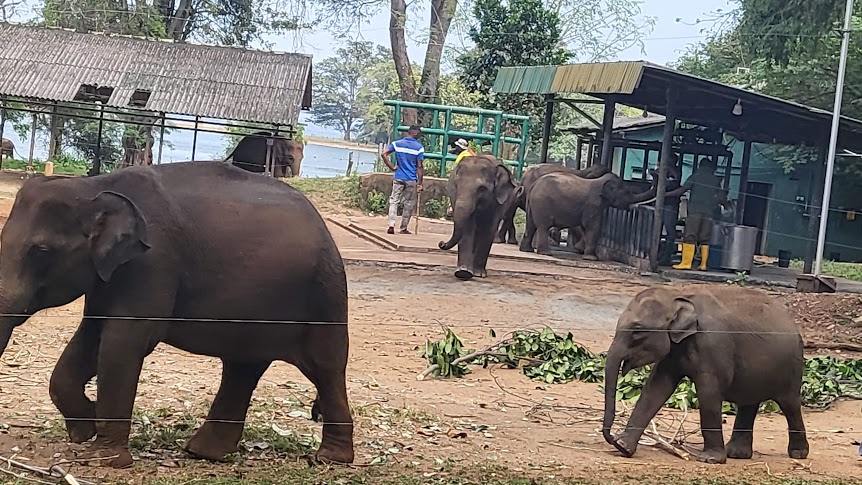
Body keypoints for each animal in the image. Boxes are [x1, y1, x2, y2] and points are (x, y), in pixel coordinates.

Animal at [0, 162, 353, 468]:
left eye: (41, 251)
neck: (97, 186)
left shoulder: (154, 263)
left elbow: (122, 342)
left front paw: (103, 458)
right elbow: (90, 336)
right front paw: (86, 429)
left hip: (325, 294)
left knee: (325, 367)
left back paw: (330, 458)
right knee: (243, 366)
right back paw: (203, 452)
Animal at [519, 172, 654, 258]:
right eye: (626, 192)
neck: (600, 181)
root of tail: (533, 185)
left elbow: (586, 228)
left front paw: (580, 251)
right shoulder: (593, 205)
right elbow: (593, 227)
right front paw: (591, 258)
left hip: (532, 204)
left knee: (531, 225)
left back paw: (527, 250)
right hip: (542, 205)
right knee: (543, 226)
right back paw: (546, 253)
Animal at [602, 286, 809, 464]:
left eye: (637, 331)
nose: (611, 437)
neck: (677, 295)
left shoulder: (713, 344)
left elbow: (708, 392)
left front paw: (710, 459)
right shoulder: (674, 349)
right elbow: (656, 388)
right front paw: (623, 447)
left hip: (792, 367)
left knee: (790, 404)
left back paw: (798, 454)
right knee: (749, 402)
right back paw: (737, 454)